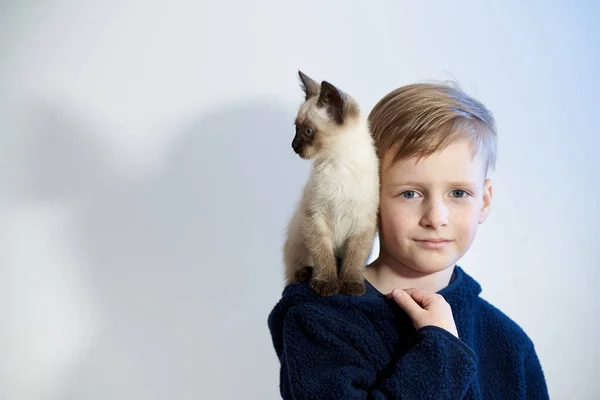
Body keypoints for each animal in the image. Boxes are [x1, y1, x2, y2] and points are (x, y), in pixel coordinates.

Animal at [282, 71, 380, 296]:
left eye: (308, 131)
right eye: (296, 128)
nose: (294, 145)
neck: (338, 164)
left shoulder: (363, 224)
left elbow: (354, 259)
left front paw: (351, 285)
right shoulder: (314, 218)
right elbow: (323, 255)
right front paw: (326, 284)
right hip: (297, 235)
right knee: (295, 270)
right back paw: (305, 274)